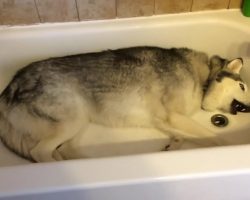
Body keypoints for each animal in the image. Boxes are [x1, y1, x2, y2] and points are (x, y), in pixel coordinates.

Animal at [0, 47, 248, 162]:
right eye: (243, 87)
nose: (248, 108)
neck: (202, 77)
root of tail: (12, 85)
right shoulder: (174, 116)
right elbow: (214, 137)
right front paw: (229, 147)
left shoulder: (162, 120)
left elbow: (182, 136)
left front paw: (173, 145)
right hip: (72, 121)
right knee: (40, 152)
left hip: (77, 124)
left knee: (61, 151)